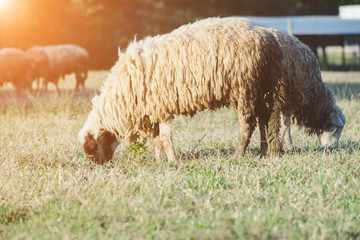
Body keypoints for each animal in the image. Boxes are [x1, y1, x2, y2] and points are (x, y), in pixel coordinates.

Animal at [79, 16, 284, 163]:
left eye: (92, 148)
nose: (100, 165)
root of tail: (267, 37)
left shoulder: (161, 107)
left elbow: (164, 138)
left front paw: (173, 161)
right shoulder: (153, 109)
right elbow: (156, 139)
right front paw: (160, 161)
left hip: (244, 88)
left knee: (247, 124)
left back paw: (238, 154)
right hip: (258, 87)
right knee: (264, 119)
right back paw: (264, 152)